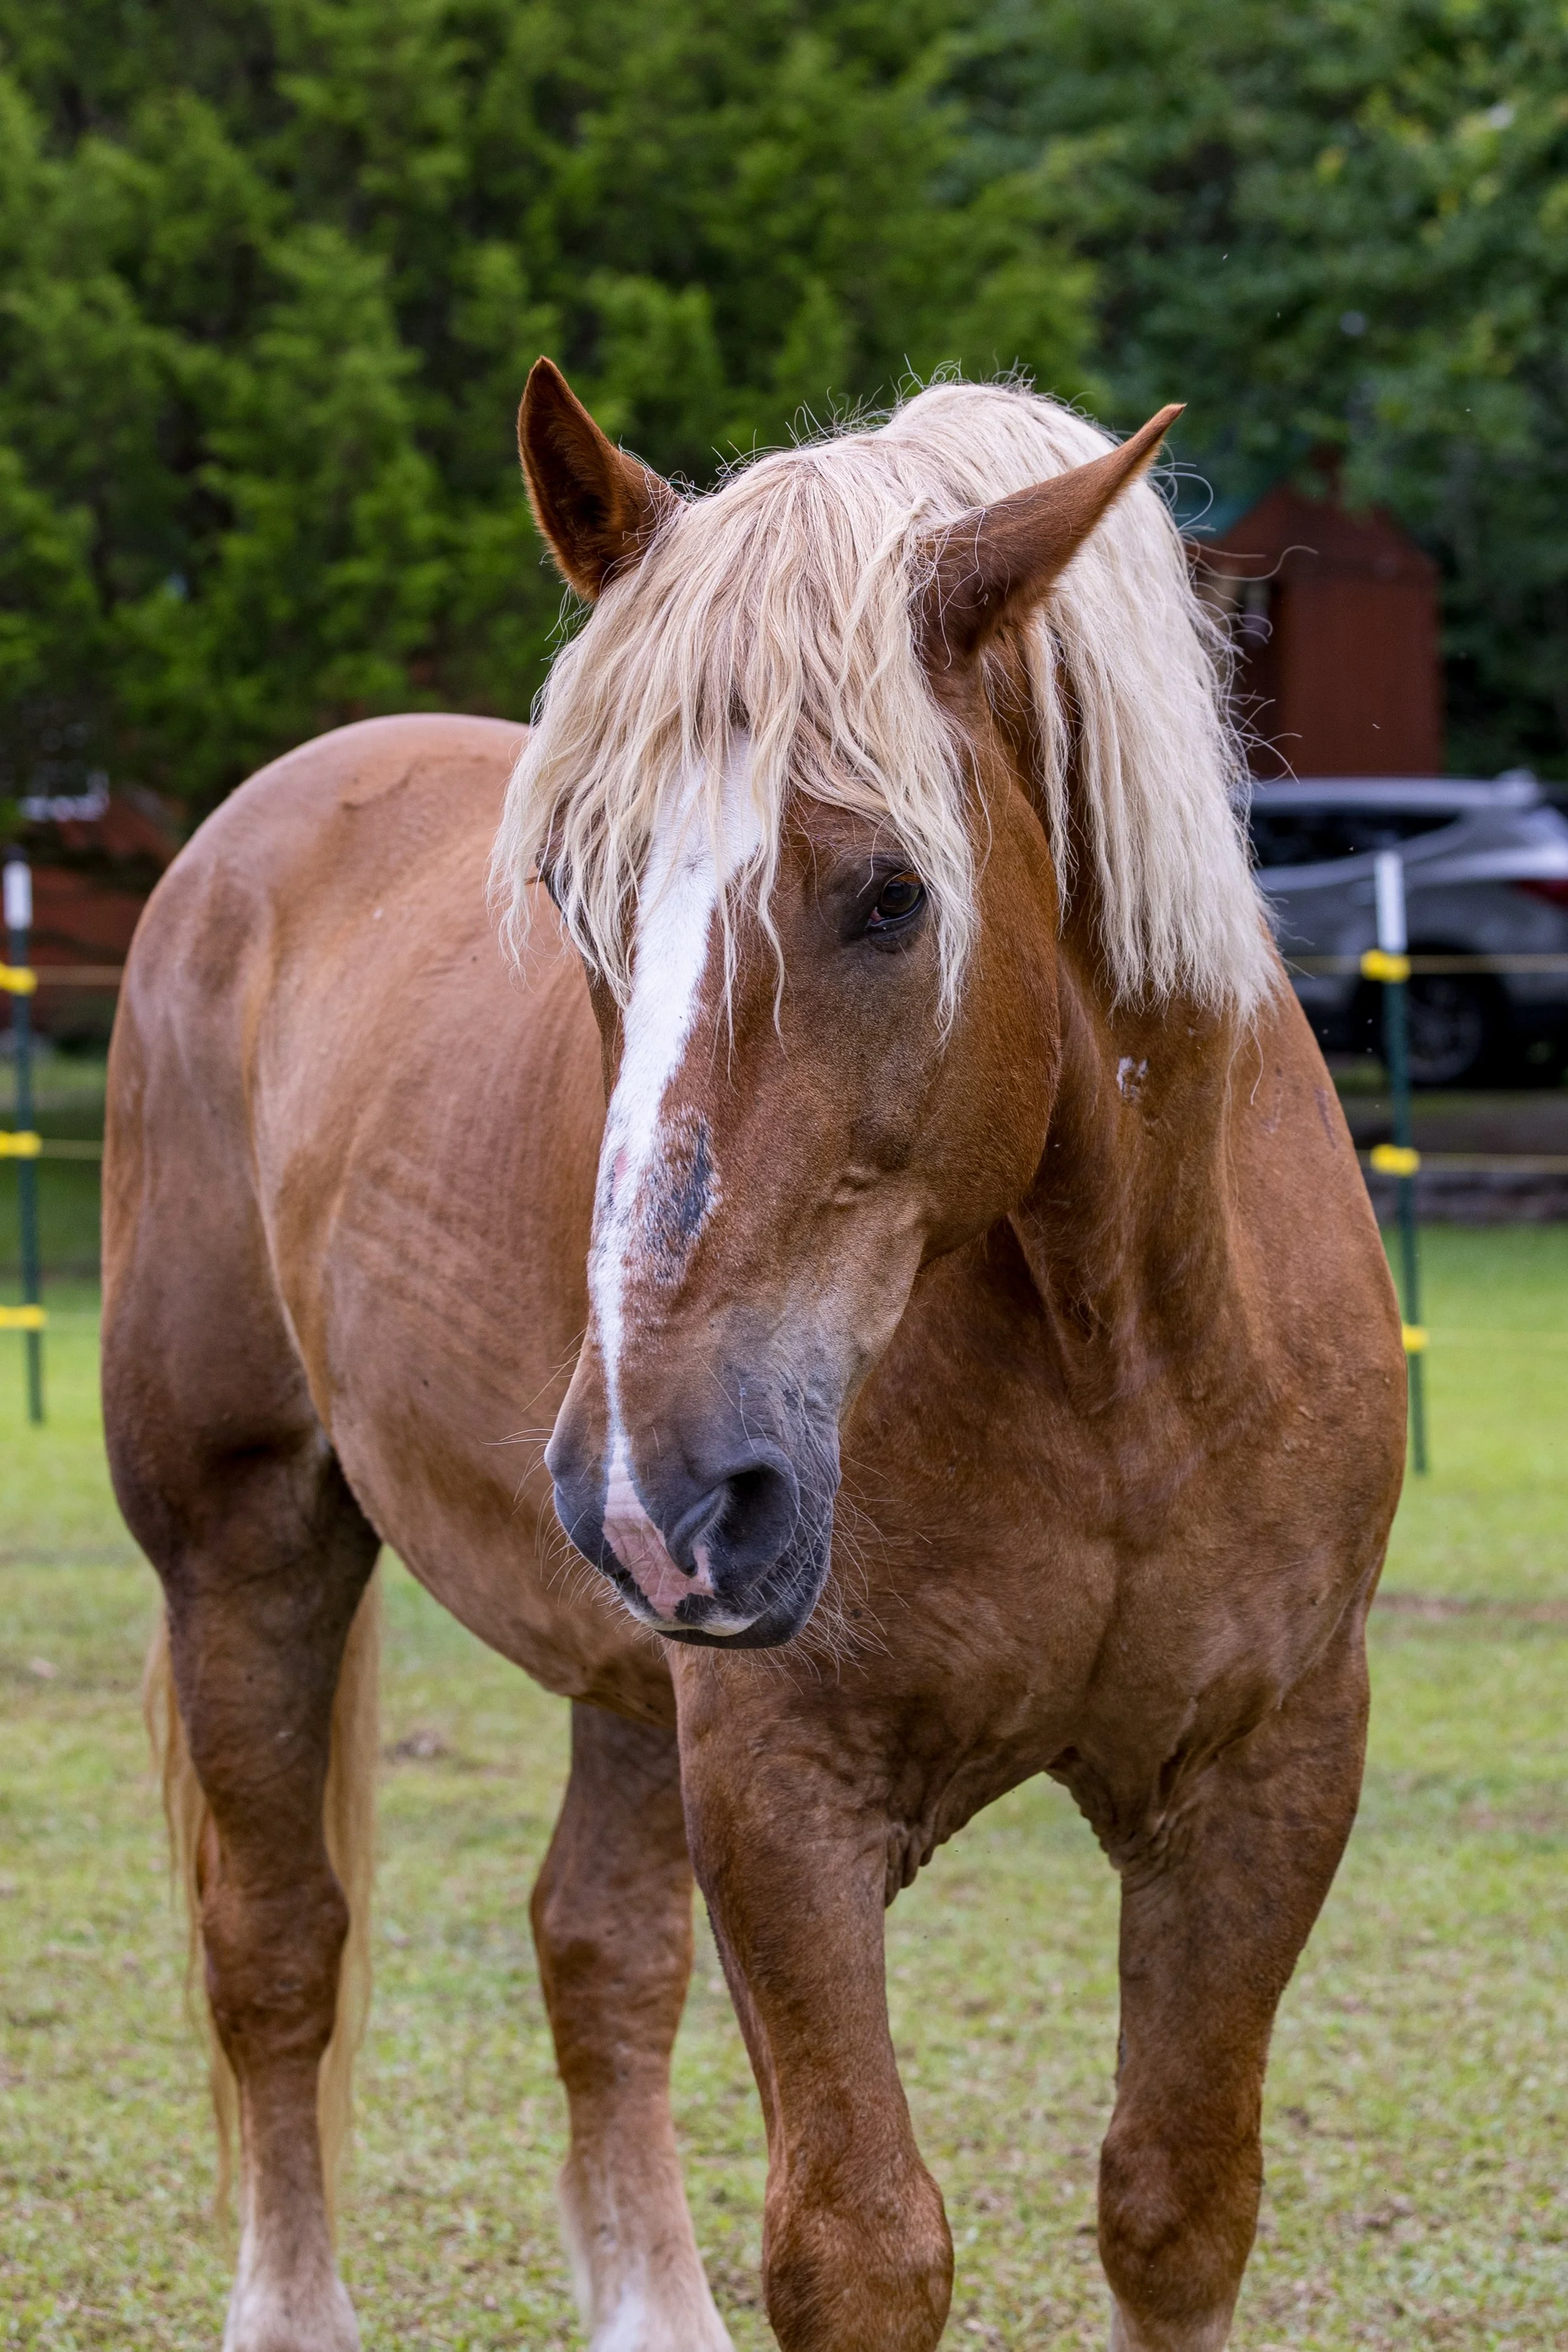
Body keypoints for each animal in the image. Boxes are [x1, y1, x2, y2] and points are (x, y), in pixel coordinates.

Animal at [102, 358, 1406, 2352]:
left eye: (890, 893)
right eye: (574, 886)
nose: (660, 1480)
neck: (1120, 1359)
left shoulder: (1266, 1776)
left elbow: (1178, 2206)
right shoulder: (788, 1790)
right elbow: (859, 2243)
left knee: (595, 1953)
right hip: (248, 1545)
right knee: (278, 1952)